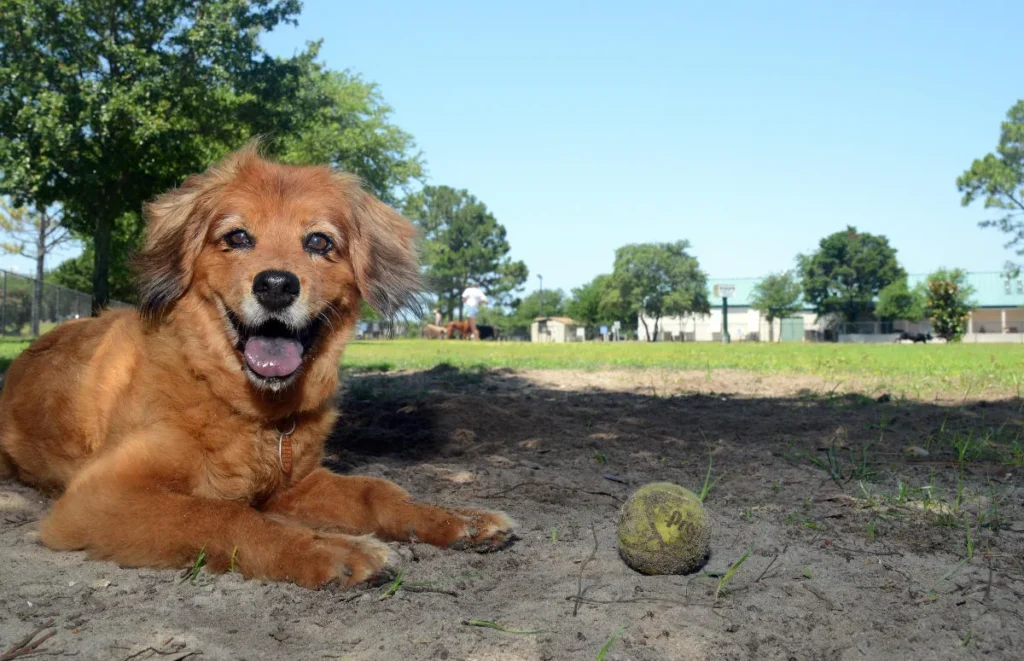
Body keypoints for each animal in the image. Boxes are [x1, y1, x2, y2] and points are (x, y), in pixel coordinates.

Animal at [0, 146, 512, 589]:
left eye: (319, 241)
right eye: (238, 237)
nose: (276, 286)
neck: (249, 410)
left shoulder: (297, 484)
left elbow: (377, 491)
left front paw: (452, 518)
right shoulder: (101, 496)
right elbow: (224, 515)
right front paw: (330, 549)